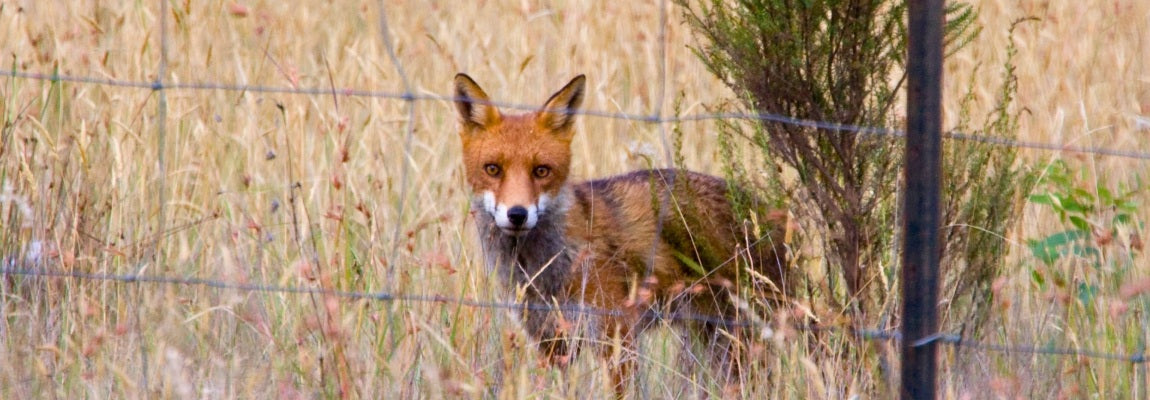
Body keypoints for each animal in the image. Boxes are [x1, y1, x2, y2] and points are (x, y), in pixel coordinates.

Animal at [453, 73, 791, 395]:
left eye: (541, 171)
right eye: (492, 169)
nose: (517, 214)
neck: (544, 269)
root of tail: (767, 208)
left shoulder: (616, 335)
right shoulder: (553, 343)